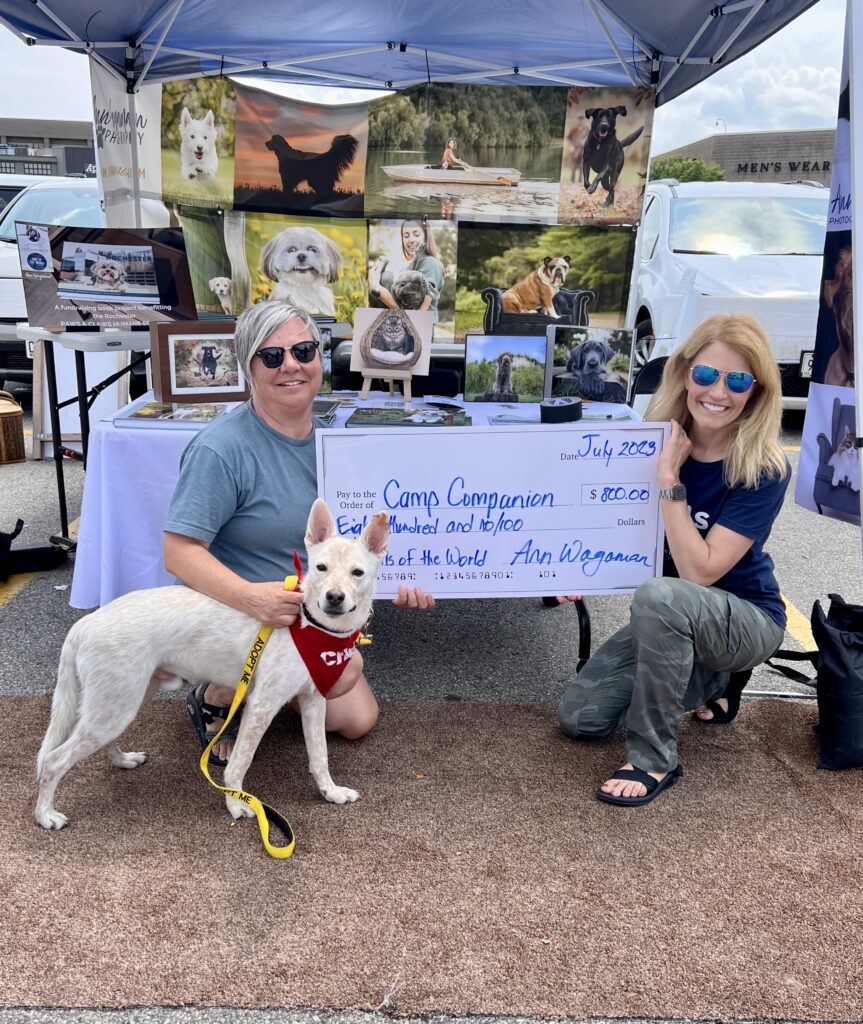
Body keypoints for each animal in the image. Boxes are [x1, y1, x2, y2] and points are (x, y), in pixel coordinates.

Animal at [35, 501, 389, 831]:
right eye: (320, 567)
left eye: (357, 573)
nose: (334, 597)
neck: (310, 623)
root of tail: (86, 623)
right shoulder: (261, 706)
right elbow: (239, 764)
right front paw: (236, 804)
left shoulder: (314, 701)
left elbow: (320, 756)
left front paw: (331, 793)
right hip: (114, 706)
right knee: (52, 761)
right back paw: (45, 815)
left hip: (123, 702)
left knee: (100, 742)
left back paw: (122, 760)